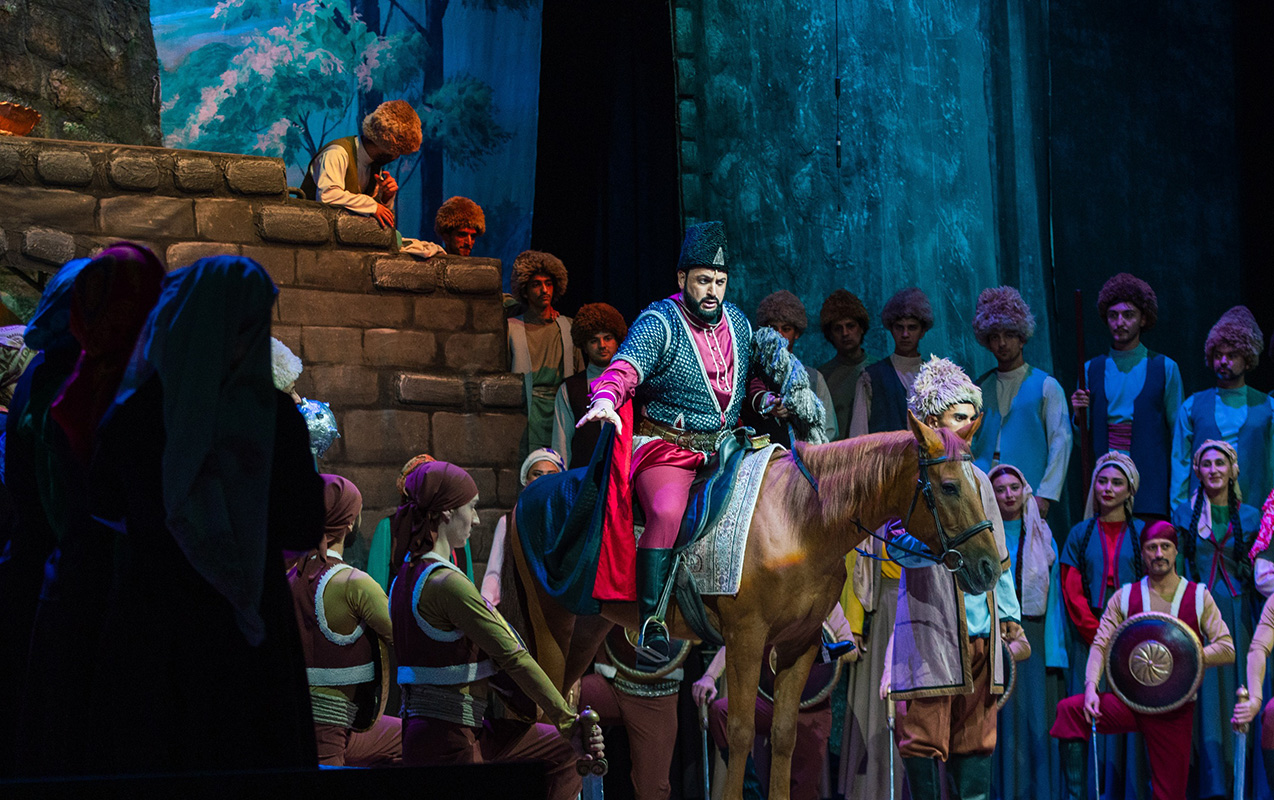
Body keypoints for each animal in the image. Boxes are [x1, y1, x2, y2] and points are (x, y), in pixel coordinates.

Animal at [508, 413, 1002, 800]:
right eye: (950, 487)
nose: (989, 567)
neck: (800, 520)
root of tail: (528, 496)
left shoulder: (800, 646)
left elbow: (782, 735)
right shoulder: (745, 639)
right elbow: (744, 732)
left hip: (586, 630)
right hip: (552, 628)